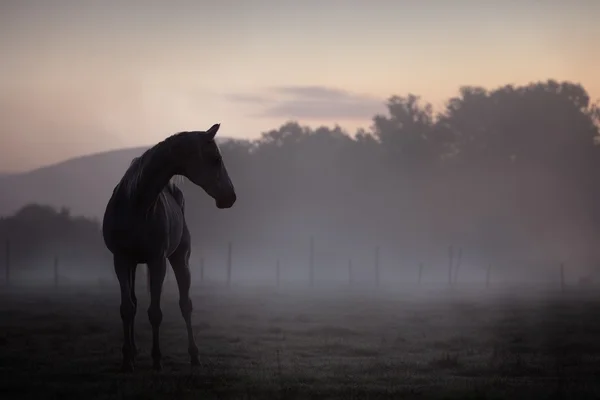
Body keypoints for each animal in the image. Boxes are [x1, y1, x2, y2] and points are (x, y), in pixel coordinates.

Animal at [102, 123, 236, 370]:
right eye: (216, 158)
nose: (230, 197)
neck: (137, 203)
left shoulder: (158, 261)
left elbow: (155, 312)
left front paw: (156, 359)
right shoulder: (121, 259)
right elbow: (127, 308)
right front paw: (127, 359)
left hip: (180, 259)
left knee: (186, 304)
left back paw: (194, 355)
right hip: (134, 264)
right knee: (134, 302)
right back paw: (134, 351)